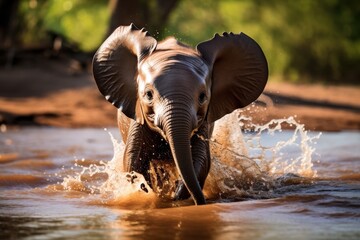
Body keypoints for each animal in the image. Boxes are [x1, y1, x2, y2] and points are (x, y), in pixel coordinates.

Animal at [93, 23, 268, 204]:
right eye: (148, 94)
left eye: (202, 97)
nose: (200, 202)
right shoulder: (138, 118)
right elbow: (132, 161)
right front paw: (152, 194)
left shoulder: (204, 124)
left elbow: (201, 160)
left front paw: (175, 195)